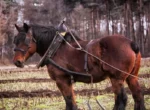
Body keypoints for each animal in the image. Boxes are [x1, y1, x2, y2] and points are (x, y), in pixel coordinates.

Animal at [13, 22, 145, 109]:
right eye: (15, 40)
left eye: (26, 40)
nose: (17, 62)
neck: (56, 48)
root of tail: (131, 43)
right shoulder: (67, 81)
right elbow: (72, 102)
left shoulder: (62, 80)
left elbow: (69, 102)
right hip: (131, 77)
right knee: (138, 96)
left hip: (116, 78)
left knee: (121, 100)